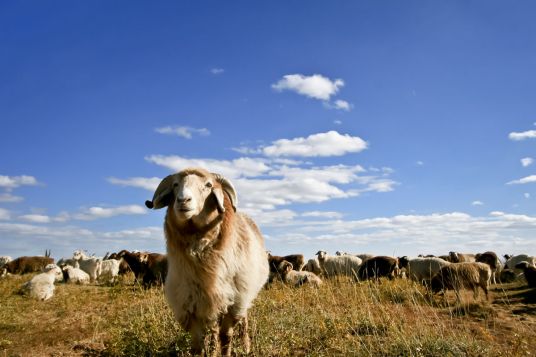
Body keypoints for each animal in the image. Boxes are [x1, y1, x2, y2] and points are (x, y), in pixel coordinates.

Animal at [146, 167, 268, 356]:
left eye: (208, 185)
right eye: (175, 185)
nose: (183, 200)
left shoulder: (234, 302)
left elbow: (226, 337)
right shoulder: (190, 305)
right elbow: (198, 346)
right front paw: (209, 349)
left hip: (243, 296)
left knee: (243, 323)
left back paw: (246, 346)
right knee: (214, 330)